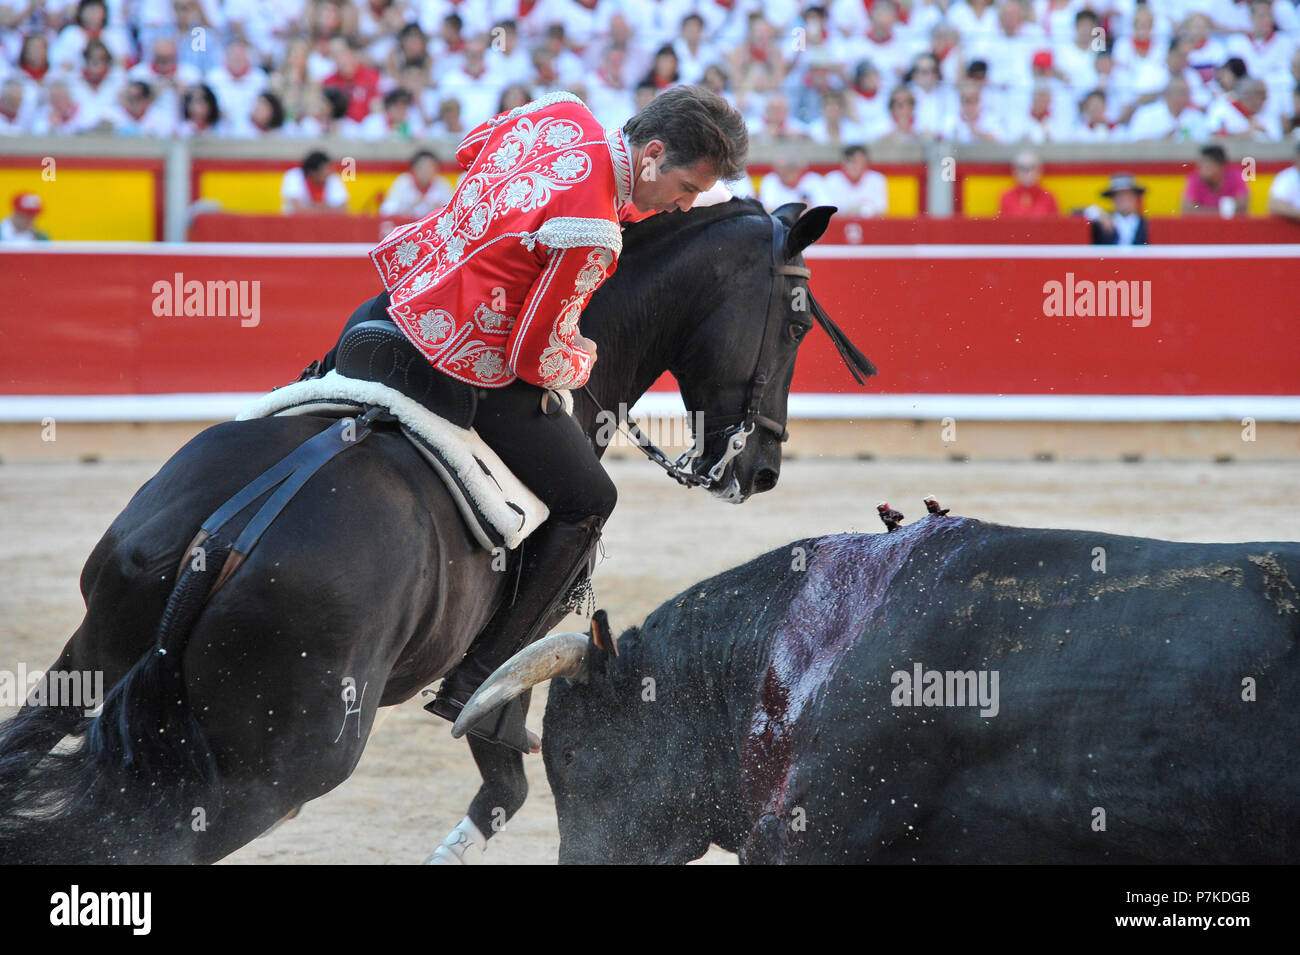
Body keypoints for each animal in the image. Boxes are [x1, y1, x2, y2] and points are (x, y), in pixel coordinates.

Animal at [0, 197, 873, 862]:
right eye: (796, 324)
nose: (760, 468)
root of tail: (224, 538)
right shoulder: (508, 666)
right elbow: (504, 780)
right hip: (270, 774)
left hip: (89, 660)